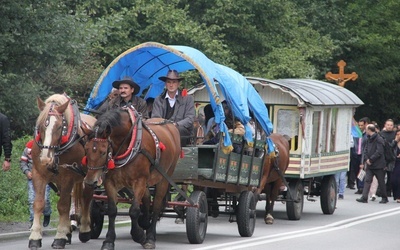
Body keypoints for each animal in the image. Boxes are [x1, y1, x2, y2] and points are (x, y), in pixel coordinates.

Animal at [28, 94, 96, 250]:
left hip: (90, 176)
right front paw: (35, 237)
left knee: (86, 198)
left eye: (60, 127)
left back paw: (84, 230)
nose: (45, 158)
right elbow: (38, 204)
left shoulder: (67, 177)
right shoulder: (38, 174)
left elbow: (63, 206)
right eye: (41, 126)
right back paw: (68, 232)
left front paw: (59, 237)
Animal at [83, 107, 180, 250]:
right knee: (147, 199)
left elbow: (133, 211)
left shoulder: (139, 181)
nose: (91, 181)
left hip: (164, 178)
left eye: (103, 152)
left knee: (156, 206)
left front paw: (139, 235)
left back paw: (150, 237)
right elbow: (112, 210)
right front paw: (108, 241)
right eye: (86, 149)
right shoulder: (110, 182)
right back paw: (145, 222)